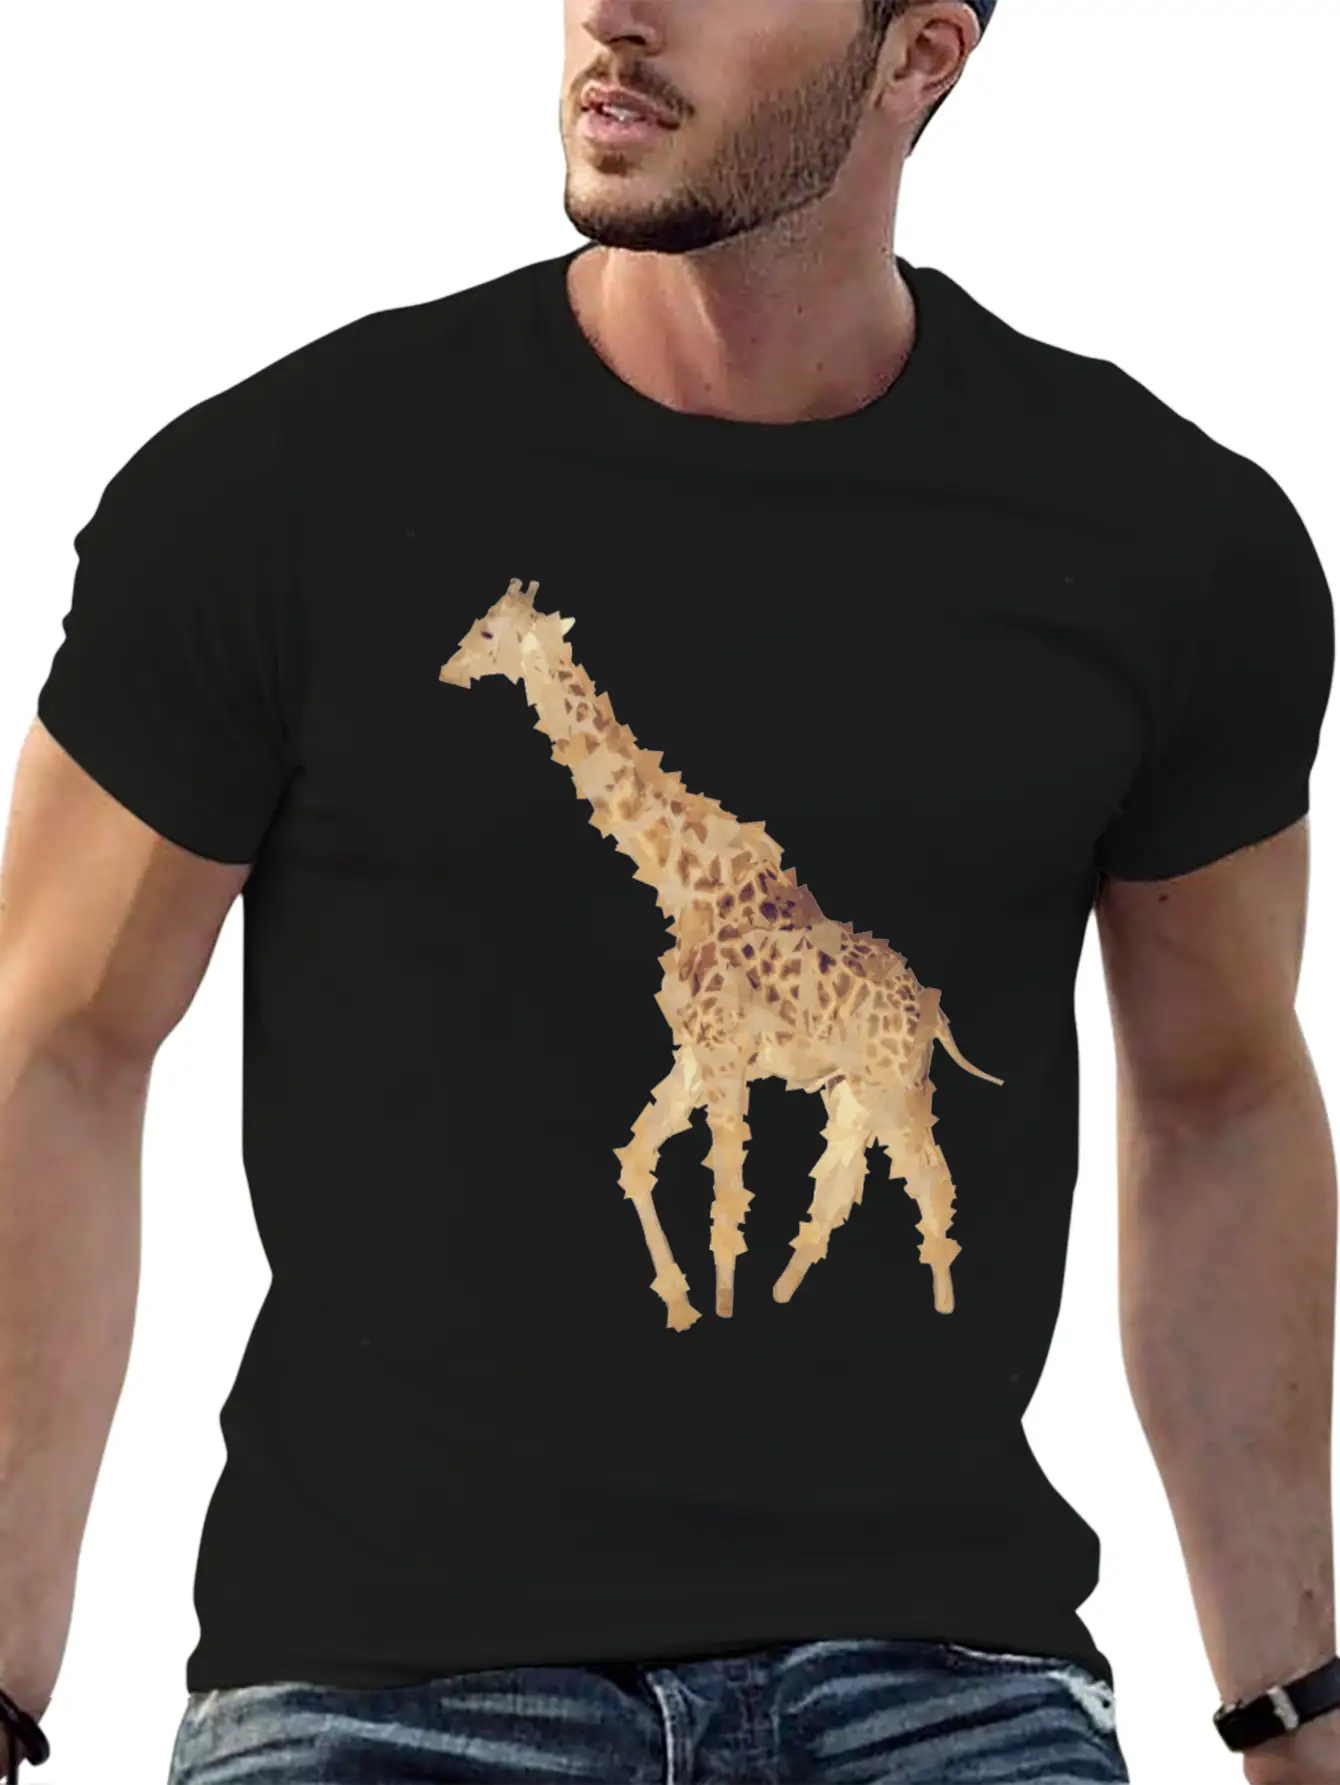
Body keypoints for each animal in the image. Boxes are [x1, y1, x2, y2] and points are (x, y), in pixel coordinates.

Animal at [440, 580, 1002, 1331]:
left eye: (488, 633)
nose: (451, 668)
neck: (686, 883)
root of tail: (932, 1013)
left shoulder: (725, 1053)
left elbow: (728, 1197)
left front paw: (723, 1304)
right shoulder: (693, 1054)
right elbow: (636, 1160)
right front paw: (683, 1304)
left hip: (895, 1086)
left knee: (931, 1181)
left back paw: (941, 1304)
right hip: (853, 1090)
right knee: (842, 1184)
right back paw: (786, 1293)